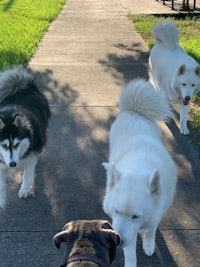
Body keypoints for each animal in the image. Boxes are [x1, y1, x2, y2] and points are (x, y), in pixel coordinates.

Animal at [103, 79, 177, 267]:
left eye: (135, 216)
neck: (138, 167)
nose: (117, 240)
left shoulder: (156, 214)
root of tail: (135, 111)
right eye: (116, 211)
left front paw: (149, 245)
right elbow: (130, 252)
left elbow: (151, 231)